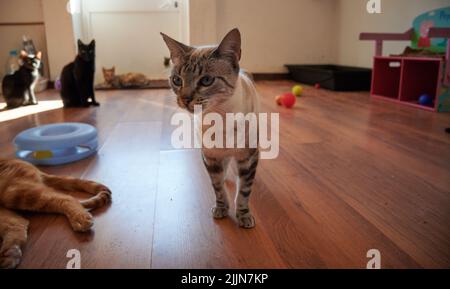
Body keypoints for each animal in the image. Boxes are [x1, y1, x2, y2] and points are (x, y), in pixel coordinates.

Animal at [162, 28, 260, 227]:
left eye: (206, 80)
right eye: (177, 80)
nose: (184, 99)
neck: (219, 117)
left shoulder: (248, 157)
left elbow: (244, 190)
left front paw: (243, 216)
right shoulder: (210, 156)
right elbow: (218, 187)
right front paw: (222, 208)